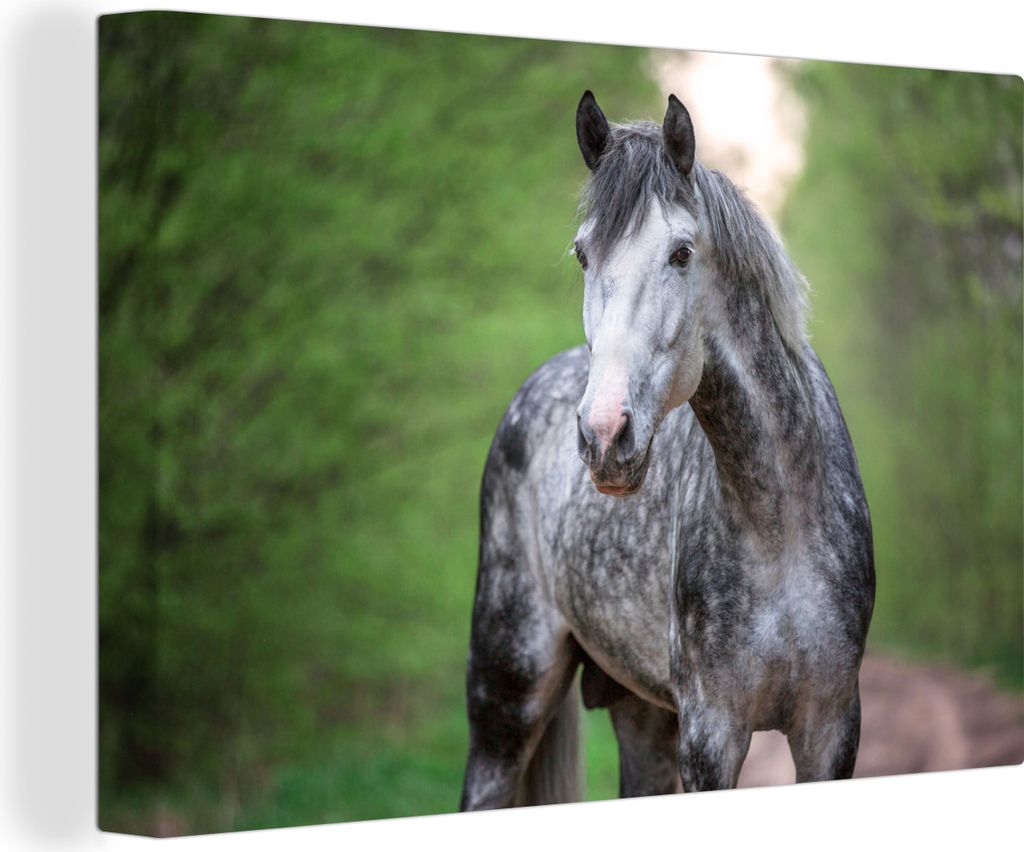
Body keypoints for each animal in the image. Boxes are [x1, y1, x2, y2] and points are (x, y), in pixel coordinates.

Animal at [459, 91, 875, 809]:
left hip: (640, 715)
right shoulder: (711, 733)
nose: (604, 436)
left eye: (682, 253)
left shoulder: (830, 727)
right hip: (506, 697)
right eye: (582, 255)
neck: (781, 526)